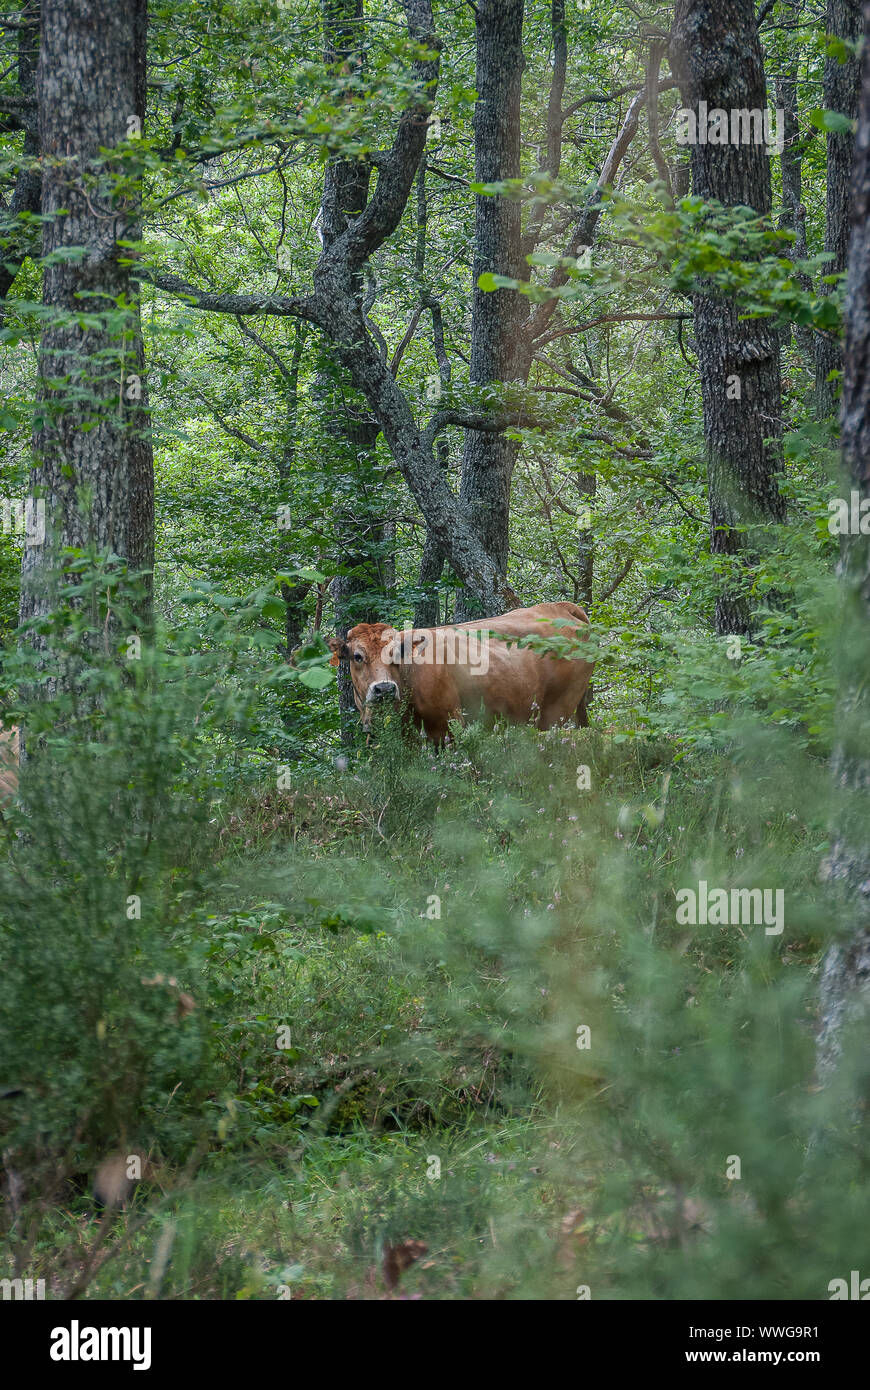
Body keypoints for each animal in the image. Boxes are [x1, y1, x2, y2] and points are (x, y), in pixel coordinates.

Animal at [327, 603, 592, 745]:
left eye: (396, 654)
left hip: (557, 710)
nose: (384, 688)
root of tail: (558, 608)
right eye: (357, 656)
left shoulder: (448, 726)